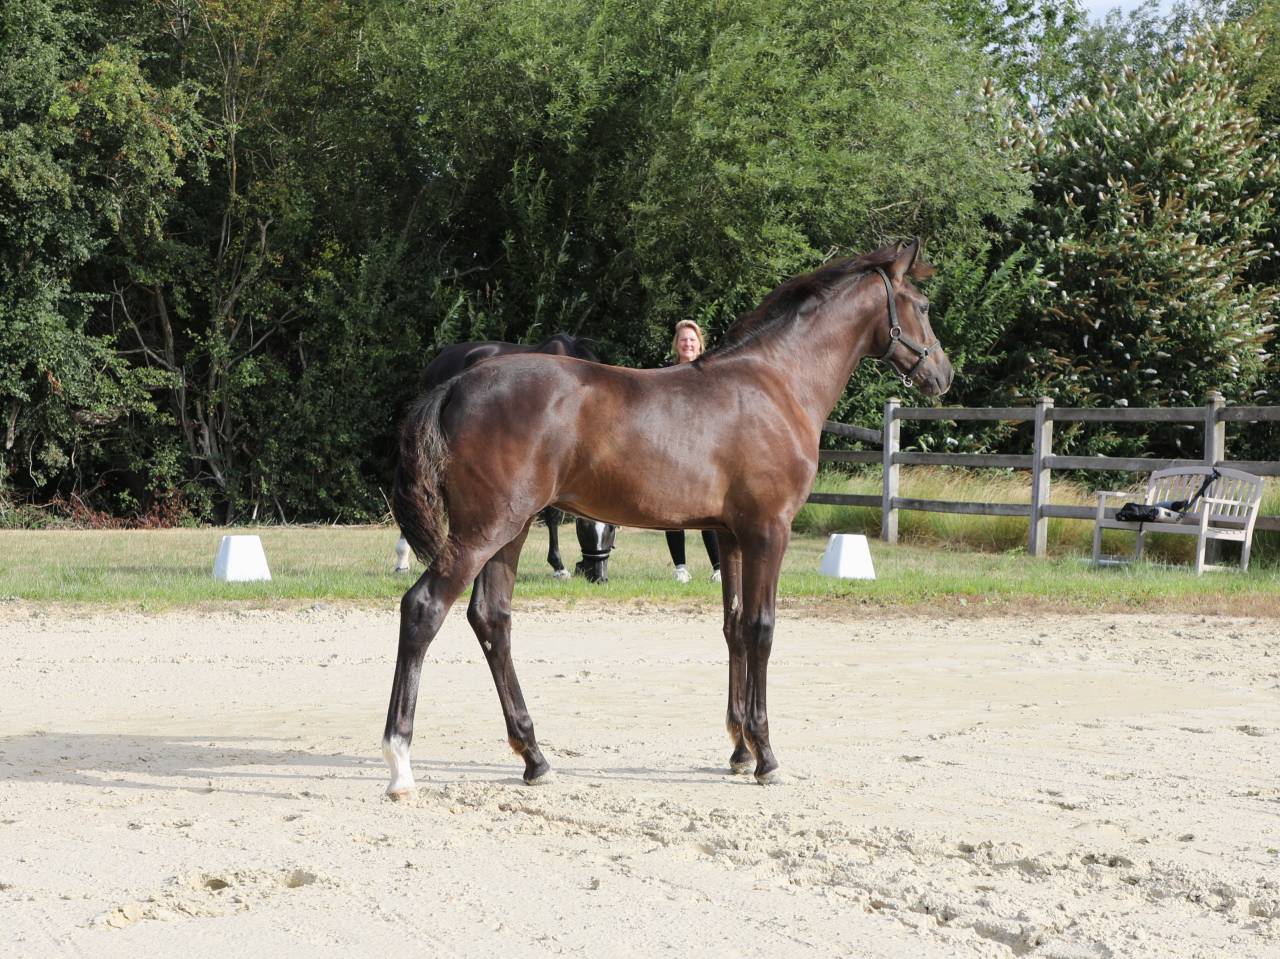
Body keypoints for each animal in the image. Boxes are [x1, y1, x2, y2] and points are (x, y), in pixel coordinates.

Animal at [392, 333, 619, 583]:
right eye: (585, 530)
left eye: (611, 530)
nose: (599, 575)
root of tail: (442, 354)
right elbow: (552, 515)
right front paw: (558, 566)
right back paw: (404, 561)